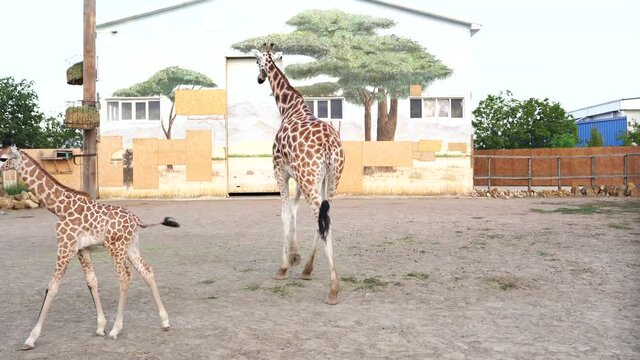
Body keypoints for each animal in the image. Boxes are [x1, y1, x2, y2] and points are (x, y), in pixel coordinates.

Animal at [1, 142, 180, 350]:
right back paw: (165, 322)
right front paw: (100, 327)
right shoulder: (81, 250)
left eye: (3, 158)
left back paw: (116, 329)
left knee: (124, 277)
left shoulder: (65, 245)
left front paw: (31, 338)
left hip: (116, 248)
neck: (59, 207)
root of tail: (137, 221)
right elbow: (91, 281)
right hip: (131, 247)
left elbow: (52, 286)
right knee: (147, 271)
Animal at [251, 43, 344, 306]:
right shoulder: (300, 178)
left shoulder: (279, 170)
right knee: (324, 219)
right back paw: (309, 270)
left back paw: (333, 289)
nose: (259, 79)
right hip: (329, 179)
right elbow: (294, 210)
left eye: (257, 62)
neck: (289, 108)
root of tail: (329, 145)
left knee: (322, 221)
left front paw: (284, 266)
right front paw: (295, 257)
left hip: (311, 178)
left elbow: (284, 213)